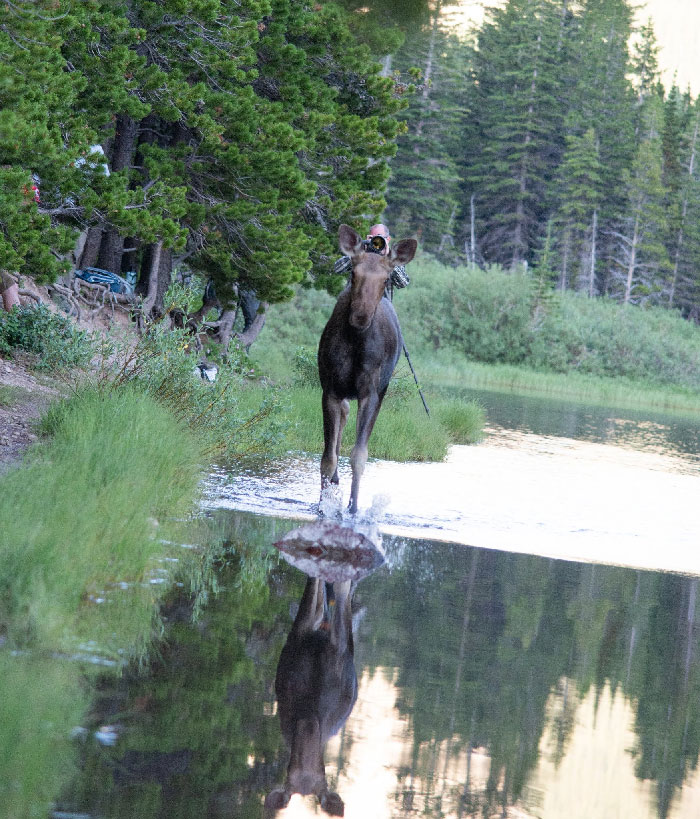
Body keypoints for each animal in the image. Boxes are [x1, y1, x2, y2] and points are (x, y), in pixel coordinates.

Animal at [318, 224, 417, 514]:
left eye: (385, 280)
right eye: (353, 272)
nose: (360, 315)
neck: (357, 341)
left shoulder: (371, 394)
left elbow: (359, 456)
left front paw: (353, 508)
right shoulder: (331, 390)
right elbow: (328, 457)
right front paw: (323, 506)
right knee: (342, 422)